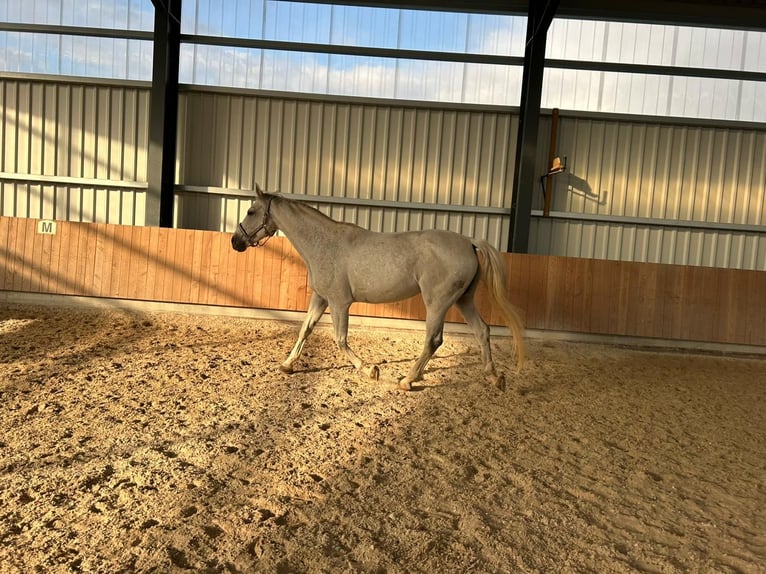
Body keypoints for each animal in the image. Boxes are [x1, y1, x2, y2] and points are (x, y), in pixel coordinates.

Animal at [231, 186, 524, 392]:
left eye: (250, 211)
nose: (235, 242)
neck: (324, 244)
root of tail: (469, 242)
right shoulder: (321, 298)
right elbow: (305, 330)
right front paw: (287, 365)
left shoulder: (339, 302)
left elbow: (340, 339)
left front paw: (369, 370)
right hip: (464, 300)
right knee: (482, 331)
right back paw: (494, 377)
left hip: (437, 302)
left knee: (434, 340)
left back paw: (408, 380)